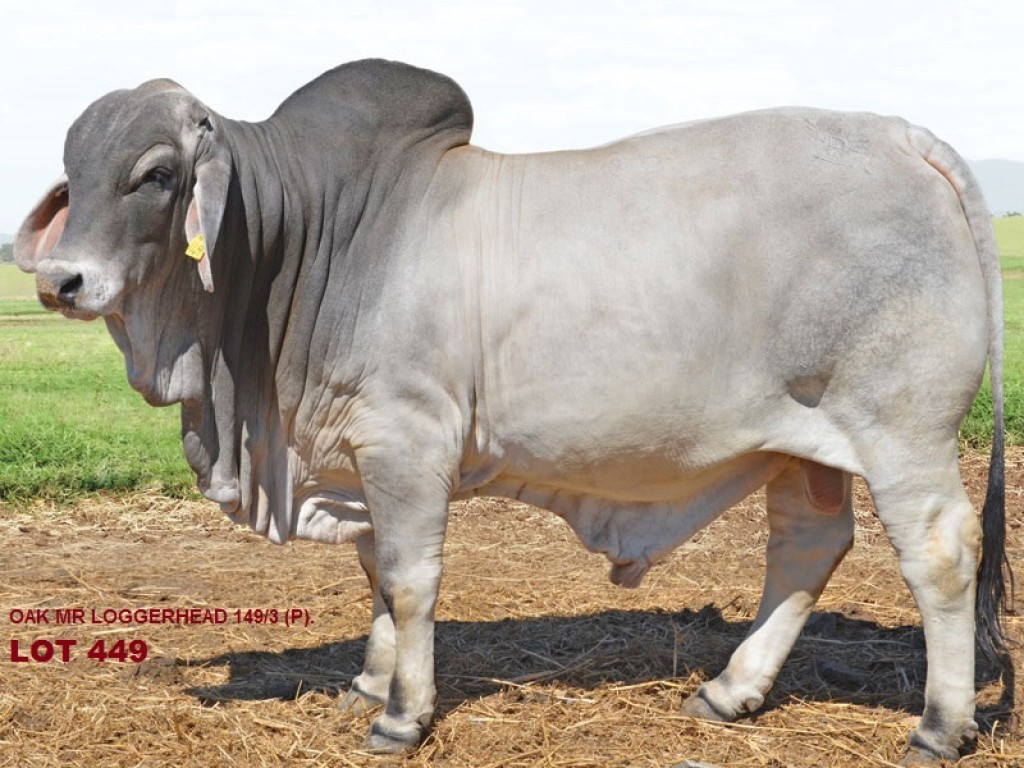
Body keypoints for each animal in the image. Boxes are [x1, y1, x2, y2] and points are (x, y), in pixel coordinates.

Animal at [14, 60, 1007, 765]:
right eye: (71, 169)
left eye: (155, 173)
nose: (61, 280)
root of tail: (908, 136)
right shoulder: (361, 457)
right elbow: (376, 576)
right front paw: (369, 685)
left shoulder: (406, 442)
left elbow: (410, 580)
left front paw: (402, 718)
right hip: (803, 441)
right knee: (806, 546)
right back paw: (730, 692)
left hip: (901, 430)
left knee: (940, 553)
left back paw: (938, 727)